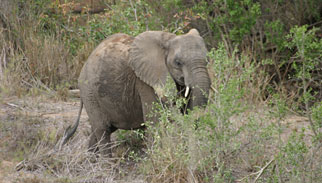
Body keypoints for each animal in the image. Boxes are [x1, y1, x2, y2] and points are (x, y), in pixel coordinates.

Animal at [62, 28, 211, 154]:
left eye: (207, 60)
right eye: (178, 62)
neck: (168, 39)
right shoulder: (144, 81)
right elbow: (154, 121)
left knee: (98, 130)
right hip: (89, 92)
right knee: (102, 130)